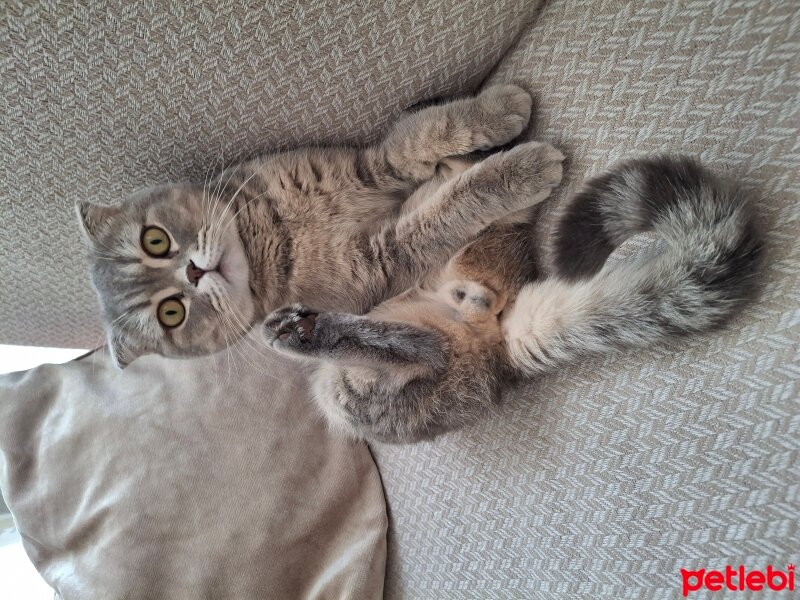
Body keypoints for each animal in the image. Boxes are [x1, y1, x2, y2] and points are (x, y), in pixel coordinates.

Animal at [75, 83, 564, 366]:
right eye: (171, 314)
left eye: (154, 240)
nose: (194, 272)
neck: (269, 236)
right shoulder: (380, 259)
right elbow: (446, 211)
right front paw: (520, 172)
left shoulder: (371, 164)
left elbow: (426, 132)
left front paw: (498, 108)